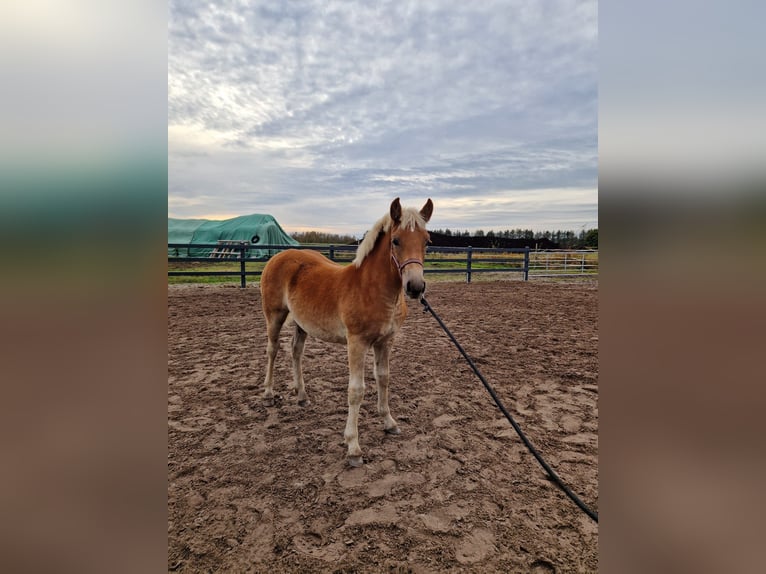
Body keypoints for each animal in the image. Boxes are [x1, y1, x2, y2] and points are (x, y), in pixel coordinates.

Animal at [260, 198, 436, 468]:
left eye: (427, 241)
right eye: (396, 240)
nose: (415, 287)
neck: (373, 289)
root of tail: (278, 256)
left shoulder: (385, 342)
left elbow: (383, 378)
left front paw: (389, 423)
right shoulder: (357, 343)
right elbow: (356, 391)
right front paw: (353, 447)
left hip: (302, 323)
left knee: (295, 352)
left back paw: (302, 395)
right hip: (274, 315)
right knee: (273, 349)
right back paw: (268, 394)